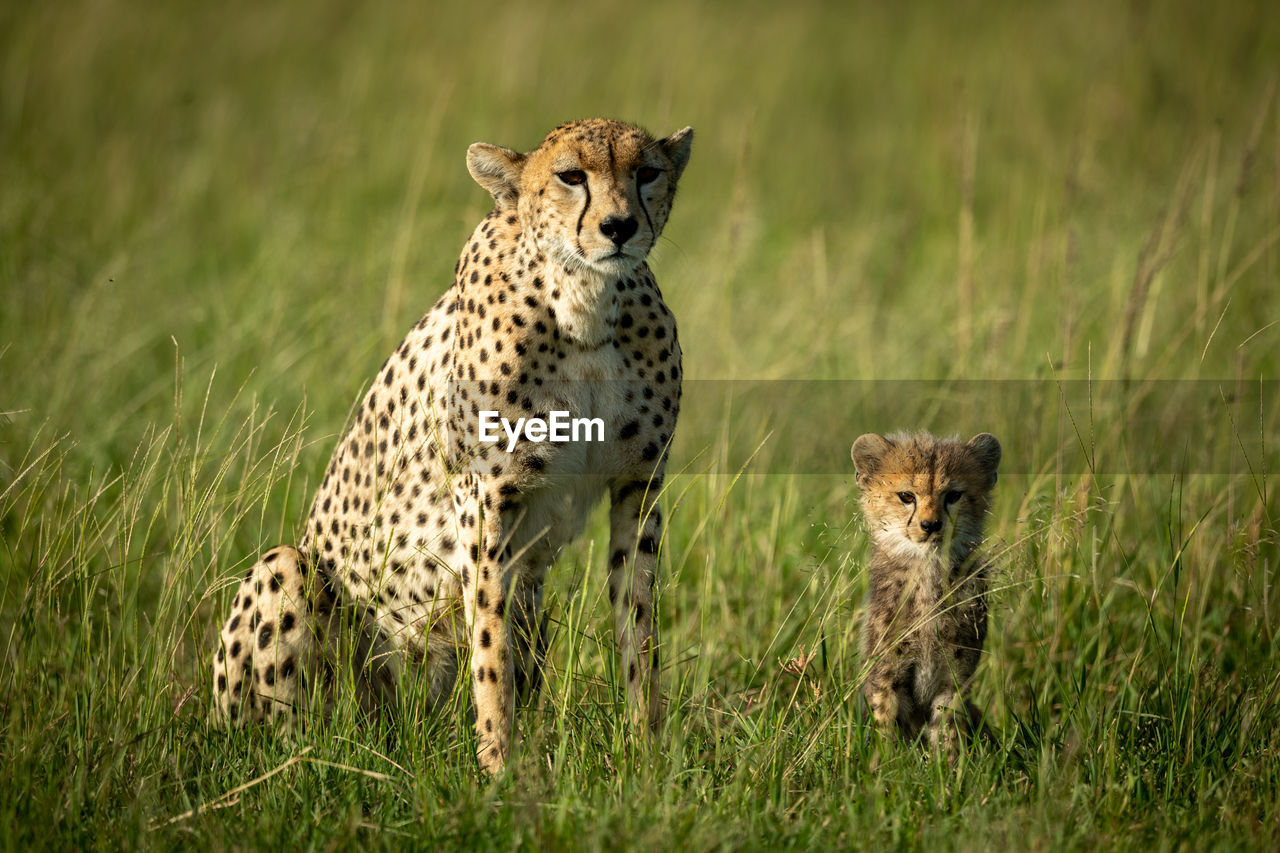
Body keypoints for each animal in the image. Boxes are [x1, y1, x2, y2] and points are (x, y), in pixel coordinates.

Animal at [212, 117, 691, 768]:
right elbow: (491, 648)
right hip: (290, 579)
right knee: (290, 735)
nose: (619, 227)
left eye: (647, 172)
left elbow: (638, 627)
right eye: (571, 176)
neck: (586, 305)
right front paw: (498, 767)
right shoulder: (484, 495)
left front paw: (649, 755)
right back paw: (308, 761)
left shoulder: (637, 485)